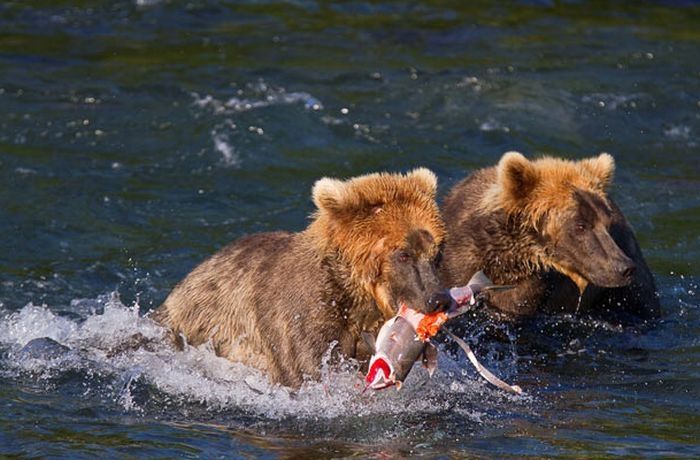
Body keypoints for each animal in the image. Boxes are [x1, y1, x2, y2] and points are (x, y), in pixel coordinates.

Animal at [153, 167, 448, 386]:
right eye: (404, 254)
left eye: (436, 252)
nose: (438, 299)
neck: (355, 297)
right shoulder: (302, 316)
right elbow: (306, 366)